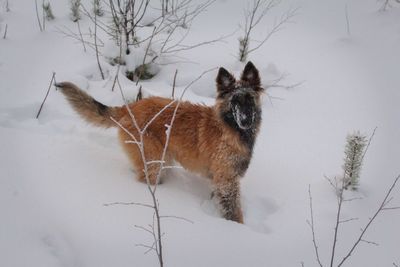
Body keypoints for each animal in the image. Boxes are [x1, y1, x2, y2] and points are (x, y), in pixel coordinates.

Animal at [55, 61, 262, 223]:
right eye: (235, 101)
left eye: (250, 100)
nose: (246, 121)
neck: (228, 128)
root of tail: (129, 107)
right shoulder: (227, 182)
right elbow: (234, 213)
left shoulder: (220, 180)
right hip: (153, 160)